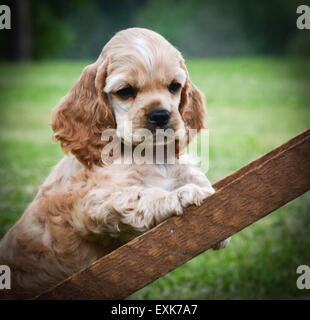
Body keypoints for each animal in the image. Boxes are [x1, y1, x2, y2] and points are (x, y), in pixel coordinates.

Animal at [0, 28, 230, 300]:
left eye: (174, 87)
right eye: (125, 91)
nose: (161, 116)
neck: (150, 154)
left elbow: (191, 173)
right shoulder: (94, 203)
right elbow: (141, 194)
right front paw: (180, 196)